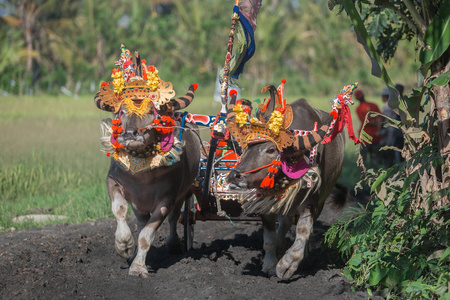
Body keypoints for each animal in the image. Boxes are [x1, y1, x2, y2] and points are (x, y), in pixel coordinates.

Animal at [94, 47, 200, 276]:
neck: (143, 175)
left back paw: (173, 245)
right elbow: (120, 210)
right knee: (141, 220)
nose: (129, 134)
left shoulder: (167, 198)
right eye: (123, 111)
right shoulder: (114, 181)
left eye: (151, 111)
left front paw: (138, 267)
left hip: (183, 194)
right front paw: (124, 245)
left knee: (174, 217)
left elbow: (147, 235)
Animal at [227, 81, 346, 278]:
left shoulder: (313, 199)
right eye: (247, 148)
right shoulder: (266, 200)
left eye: (270, 150)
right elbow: (270, 236)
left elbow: (304, 230)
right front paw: (269, 264)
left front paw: (287, 264)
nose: (234, 176)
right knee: (285, 222)